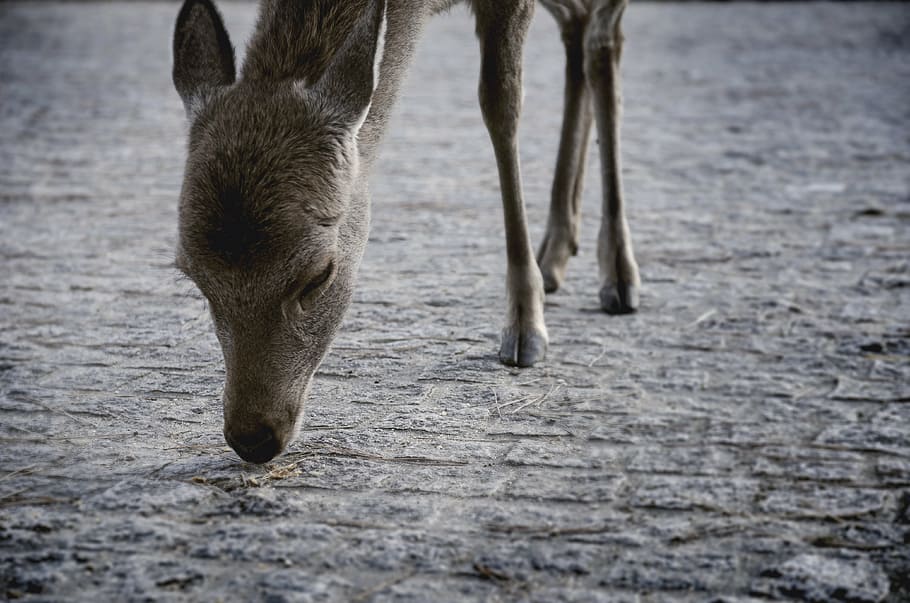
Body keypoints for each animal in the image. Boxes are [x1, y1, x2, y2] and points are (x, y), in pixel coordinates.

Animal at [171, 0, 639, 463]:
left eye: (319, 275)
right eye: (194, 278)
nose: (252, 437)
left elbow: (502, 105)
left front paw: (525, 326)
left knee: (602, 38)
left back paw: (617, 273)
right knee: (578, 23)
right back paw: (557, 251)